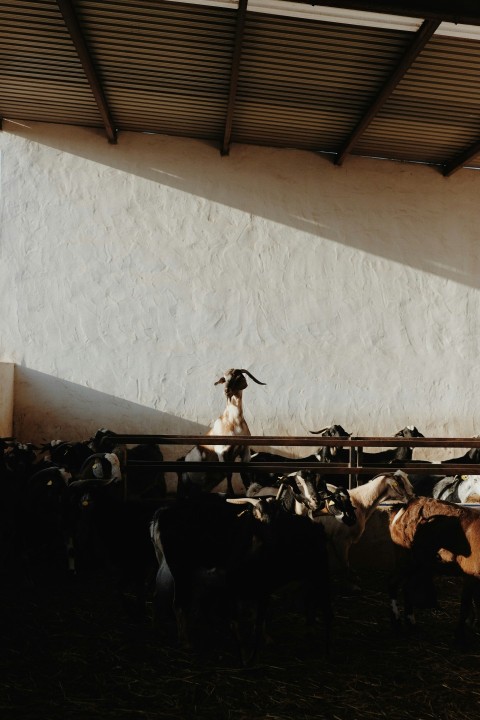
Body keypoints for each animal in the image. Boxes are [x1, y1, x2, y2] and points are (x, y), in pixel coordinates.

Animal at [178, 368, 266, 498]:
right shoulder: (222, 451)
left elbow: (245, 472)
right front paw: (231, 493)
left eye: (236, 377)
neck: (234, 422)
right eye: (224, 379)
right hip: (185, 479)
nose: (226, 391)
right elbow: (228, 473)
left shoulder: (245, 450)